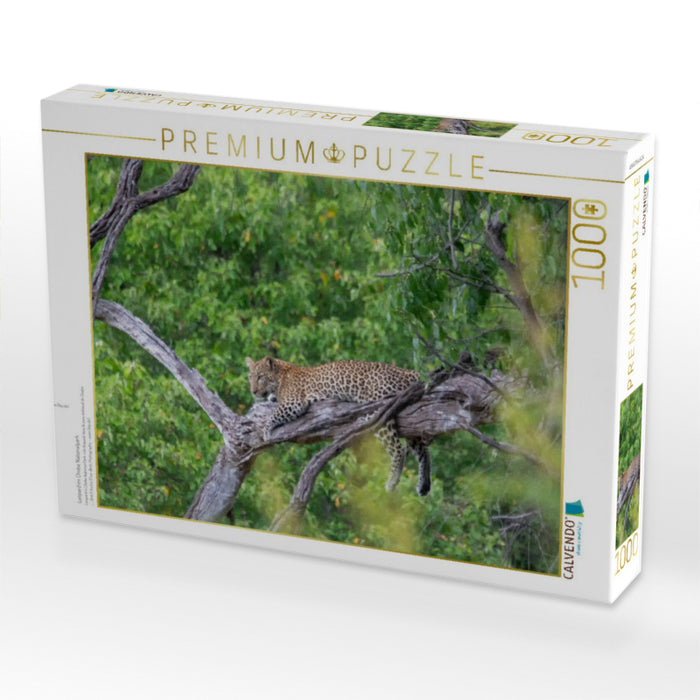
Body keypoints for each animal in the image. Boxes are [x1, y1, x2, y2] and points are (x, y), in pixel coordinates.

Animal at [245, 356, 432, 496]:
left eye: (260, 376)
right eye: (250, 377)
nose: (253, 391)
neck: (281, 376)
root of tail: (408, 372)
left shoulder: (294, 403)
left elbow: (273, 415)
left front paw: (266, 431)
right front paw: (270, 399)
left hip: (381, 410)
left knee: (398, 449)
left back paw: (392, 482)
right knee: (422, 450)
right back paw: (424, 485)